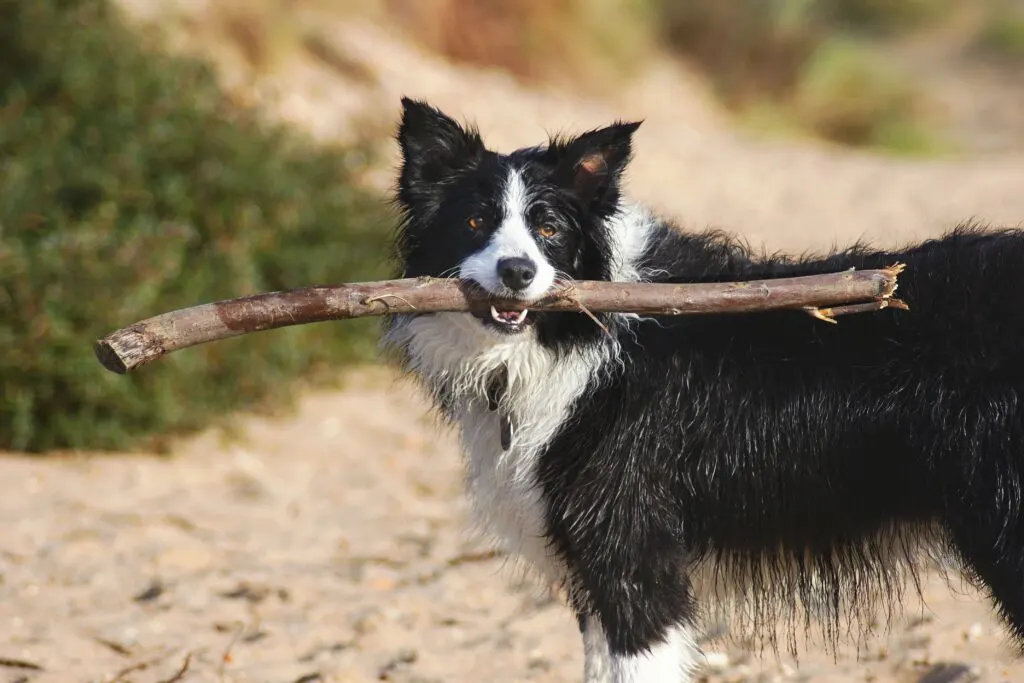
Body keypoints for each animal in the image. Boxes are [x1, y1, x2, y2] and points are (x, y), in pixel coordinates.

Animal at [380, 97, 1024, 683]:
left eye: (549, 228)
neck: (575, 338)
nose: (517, 272)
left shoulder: (632, 552)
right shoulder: (593, 570)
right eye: (474, 222)